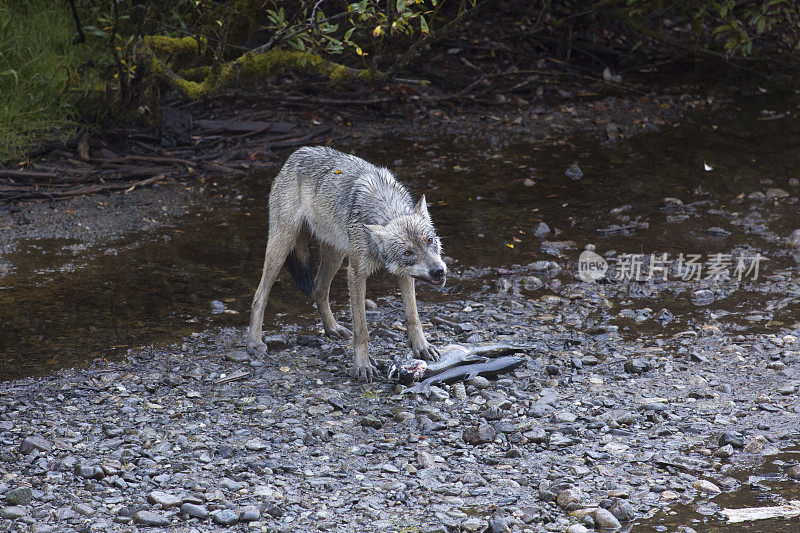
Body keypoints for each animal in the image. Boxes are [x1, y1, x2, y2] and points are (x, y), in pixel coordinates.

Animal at [247, 145, 446, 378]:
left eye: (430, 241)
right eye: (408, 252)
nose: (438, 271)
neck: (385, 207)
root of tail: (296, 154)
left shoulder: (403, 275)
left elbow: (413, 317)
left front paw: (422, 347)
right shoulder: (356, 274)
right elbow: (362, 329)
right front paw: (362, 365)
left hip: (335, 254)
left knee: (319, 288)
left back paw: (332, 329)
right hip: (282, 246)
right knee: (260, 295)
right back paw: (254, 343)